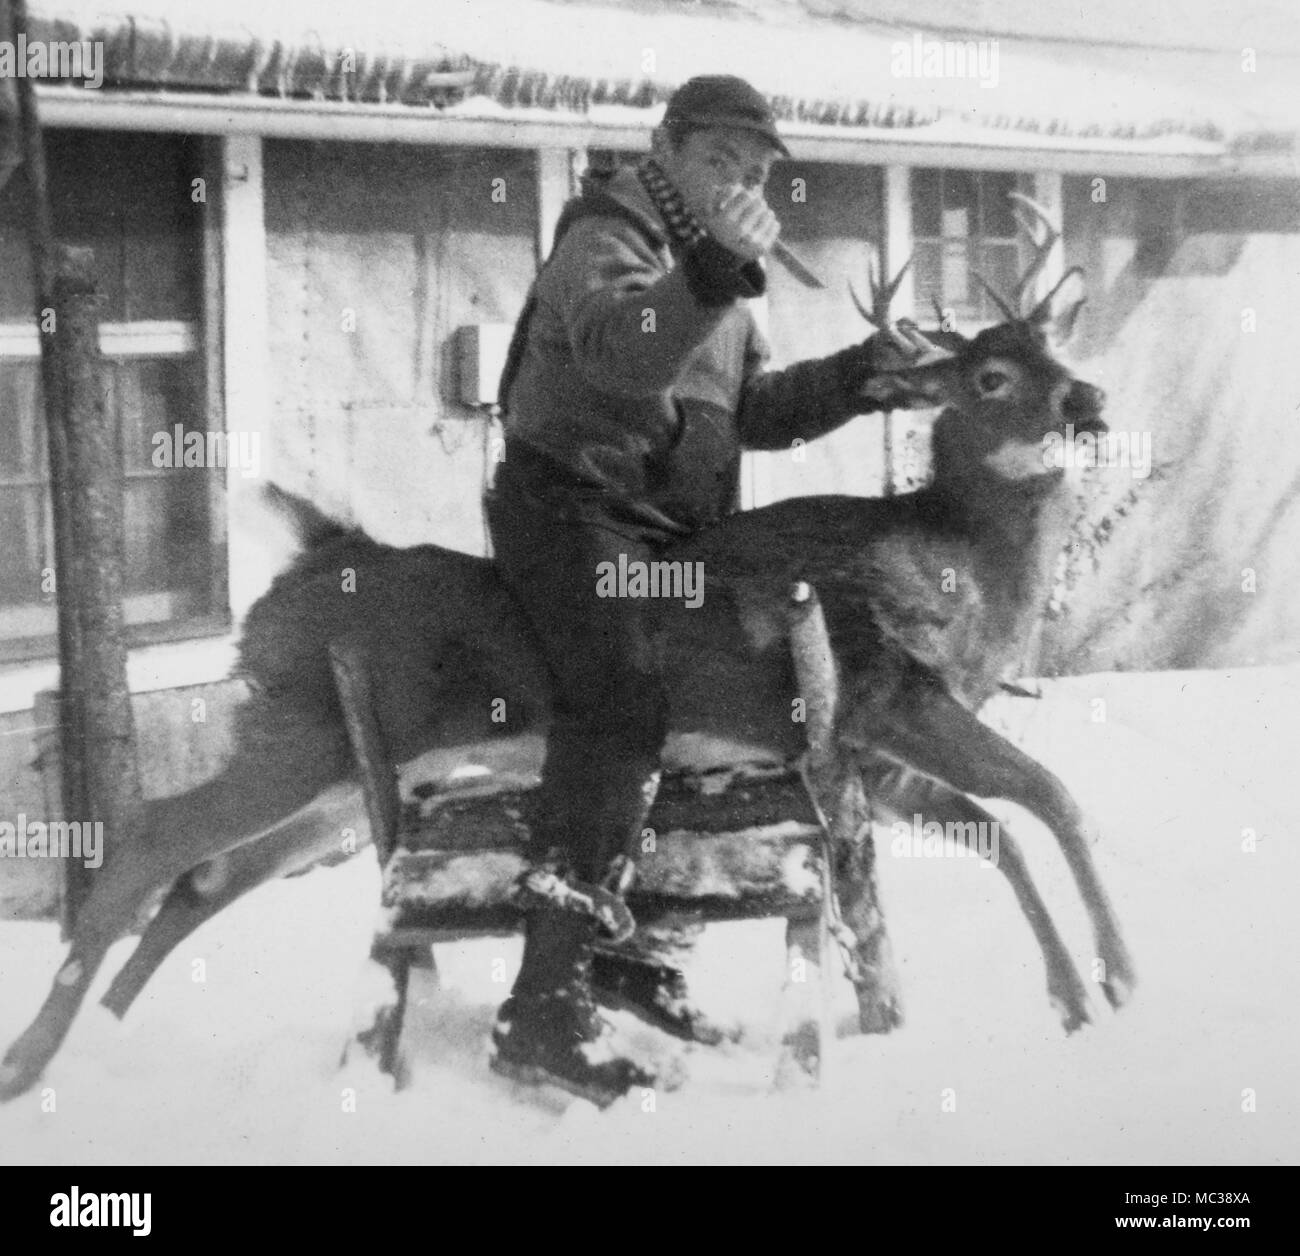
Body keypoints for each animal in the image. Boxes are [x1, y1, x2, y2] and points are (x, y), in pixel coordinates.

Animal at [0, 193, 1133, 1102]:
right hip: (307, 730)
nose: (1091, 400)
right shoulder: (882, 696)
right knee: (150, 837)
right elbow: (1050, 797)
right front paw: (1116, 978)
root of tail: (319, 552)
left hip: (348, 773)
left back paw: (106, 1031)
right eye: (991, 376)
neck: (957, 566)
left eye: (1059, 357)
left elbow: (1005, 826)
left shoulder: (863, 756)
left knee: (209, 876)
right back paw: (33, 1061)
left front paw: (1076, 996)